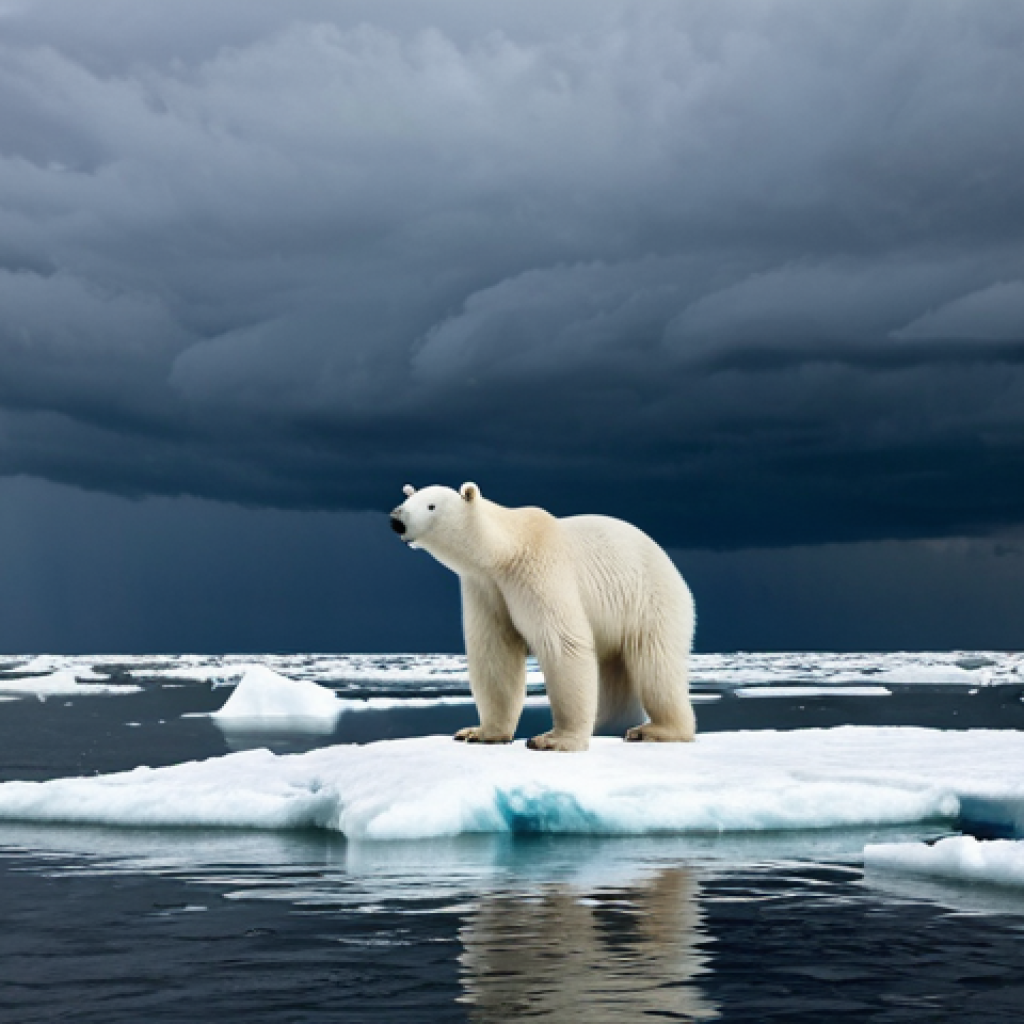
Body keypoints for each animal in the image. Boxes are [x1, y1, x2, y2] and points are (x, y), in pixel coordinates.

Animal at [390, 482, 696, 752]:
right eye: (407, 499)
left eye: (431, 505)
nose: (396, 520)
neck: (506, 550)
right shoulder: (485, 587)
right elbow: (495, 653)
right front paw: (479, 733)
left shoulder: (539, 570)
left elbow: (563, 643)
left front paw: (553, 740)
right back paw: (608, 724)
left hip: (650, 601)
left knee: (655, 663)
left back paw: (656, 730)